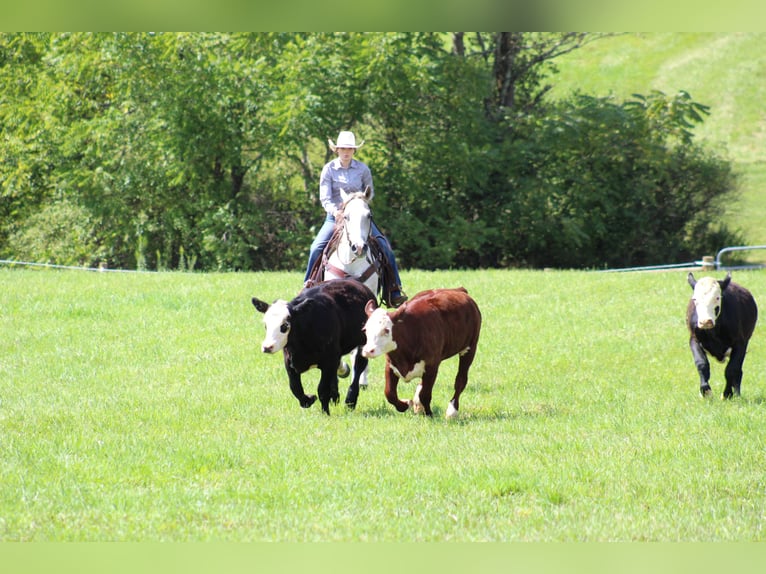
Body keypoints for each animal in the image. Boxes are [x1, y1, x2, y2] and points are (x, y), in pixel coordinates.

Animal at [252, 280, 376, 414]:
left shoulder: (329, 361)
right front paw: (309, 399)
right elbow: (295, 387)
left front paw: (325, 412)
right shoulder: (289, 361)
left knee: (358, 367)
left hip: (363, 344)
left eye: (285, 325)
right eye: (266, 325)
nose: (267, 347)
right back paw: (335, 397)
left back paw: (350, 400)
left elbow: (322, 389)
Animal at [364, 288, 484, 418]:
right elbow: (389, 393)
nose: (368, 350)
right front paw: (406, 404)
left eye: (386, 330)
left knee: (460, 380)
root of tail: (459, 290)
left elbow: (425, 394)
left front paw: (428, 413)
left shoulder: (432, 366)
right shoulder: (390, 365)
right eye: (365, 330)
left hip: (470, 348)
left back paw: (452, 411)